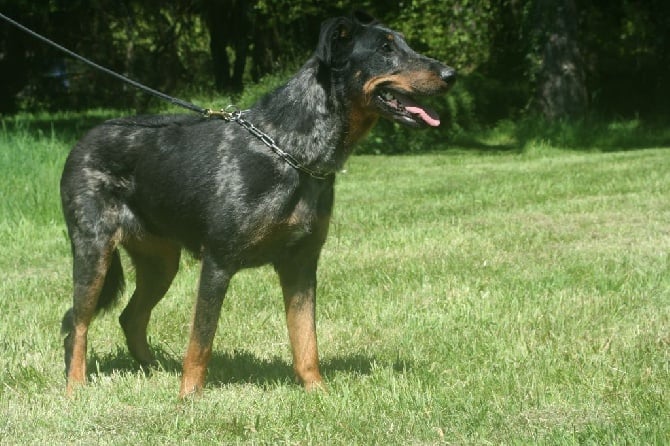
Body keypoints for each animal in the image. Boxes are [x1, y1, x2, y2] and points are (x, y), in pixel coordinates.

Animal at [60, 10, 456, 396]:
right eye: (385, 49)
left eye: (405, 43)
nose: (451, 75)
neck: (291, 151)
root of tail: (81, 142)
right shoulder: (217, 263)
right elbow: (201, 342)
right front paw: (188, 398)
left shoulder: (301, 264)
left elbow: (306, 340)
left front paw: (318, 392)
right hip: (94, 252)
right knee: (77, 322)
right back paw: (76, 387)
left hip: (161, 263)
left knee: (129, 316)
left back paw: (153, 369)